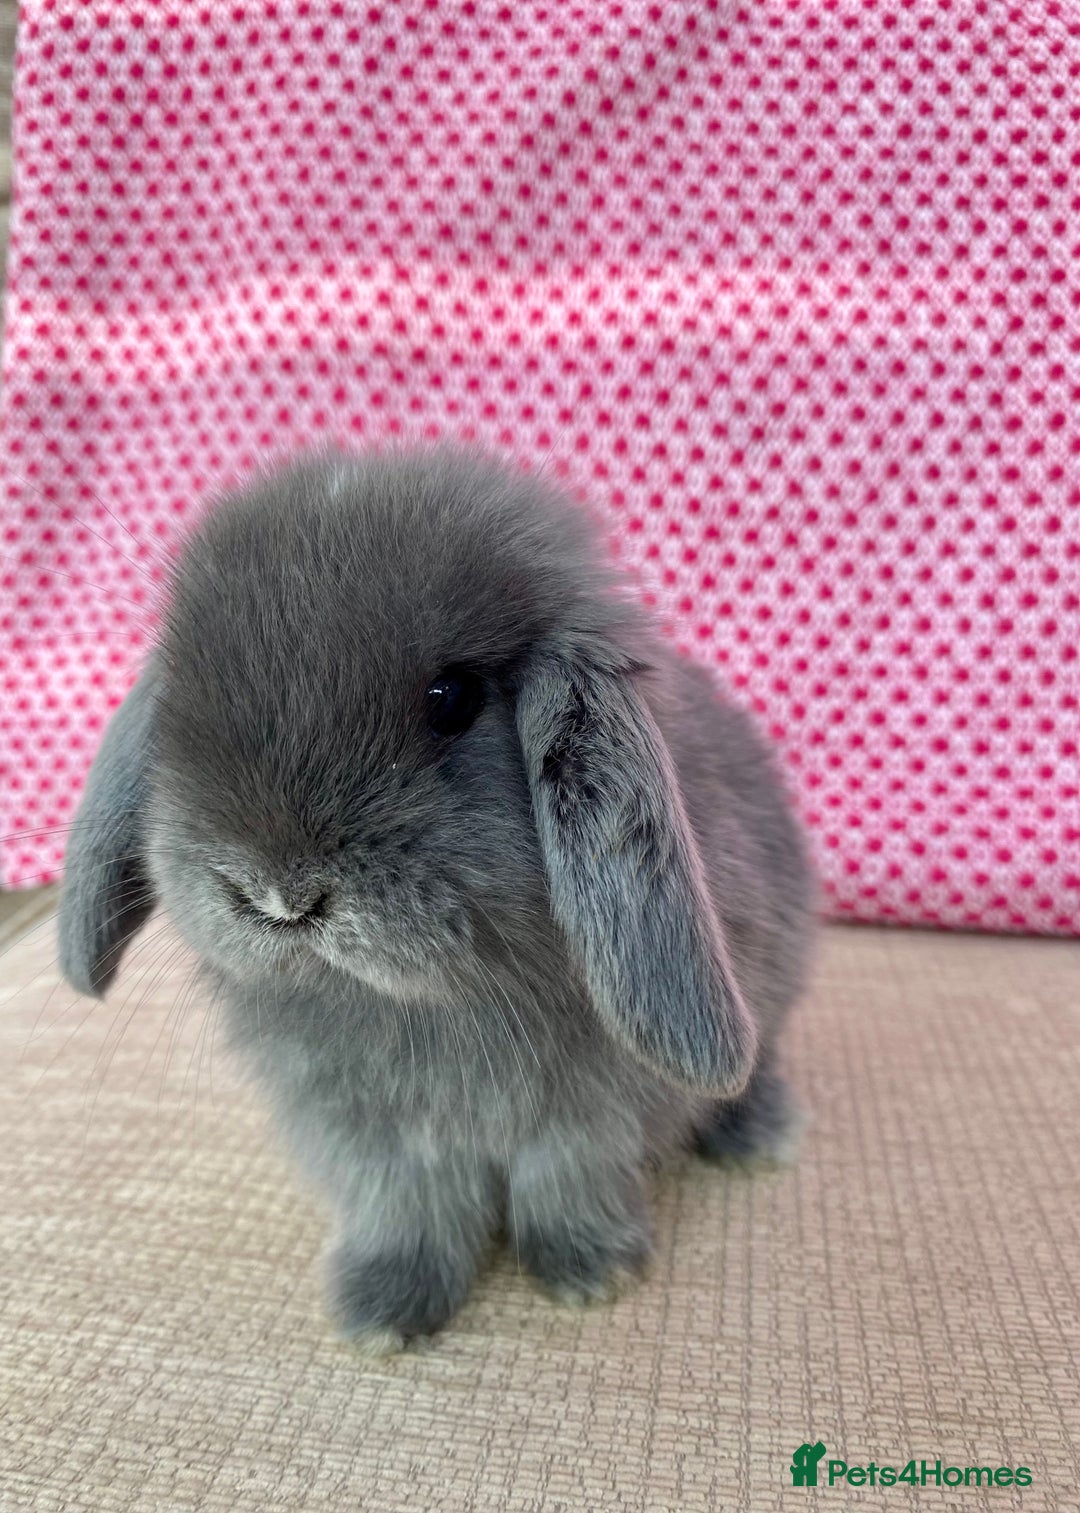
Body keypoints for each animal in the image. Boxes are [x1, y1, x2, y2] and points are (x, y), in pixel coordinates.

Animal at [58, 447, 817, 1353]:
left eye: (451, 698)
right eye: (179, 698)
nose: (278, 893)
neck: (421, 1003)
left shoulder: (588, 1114)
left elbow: (565, 1182)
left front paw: (589, 1272)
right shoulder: (370, 1138)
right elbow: (405, 1209)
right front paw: (383, 1313)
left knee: (761, 1061)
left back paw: (758, 1136)